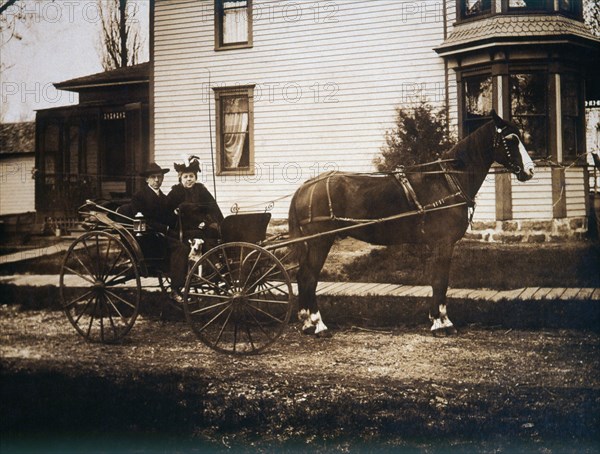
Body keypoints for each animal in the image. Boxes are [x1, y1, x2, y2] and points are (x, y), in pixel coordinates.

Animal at [290, 111, 536, 336]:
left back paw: (306, 322)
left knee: (302, 276)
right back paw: (318, 324)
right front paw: (441, 322)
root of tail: (306, 187)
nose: (531, 170)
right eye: (511, 139)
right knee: (309, 277)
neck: (447, 181)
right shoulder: (443, 243)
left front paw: (438, 319)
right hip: (320, 241)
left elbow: (438, 281)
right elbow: (440, 281)